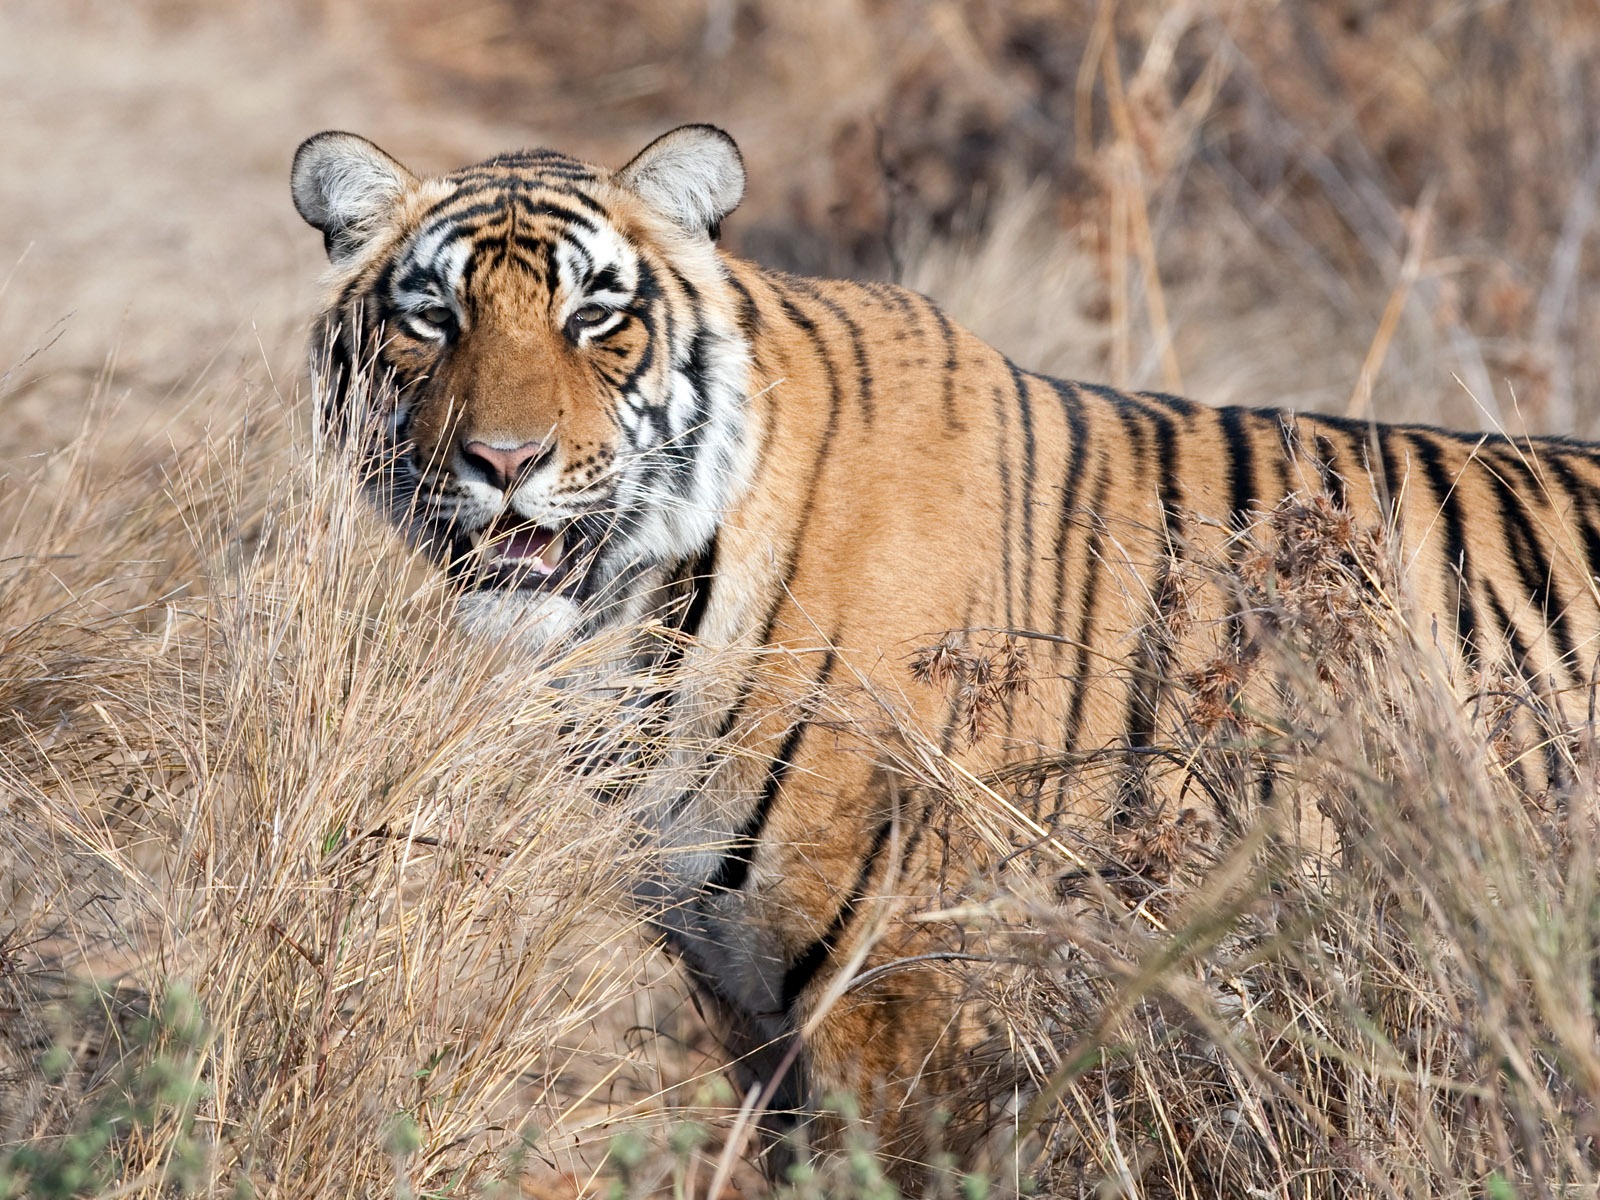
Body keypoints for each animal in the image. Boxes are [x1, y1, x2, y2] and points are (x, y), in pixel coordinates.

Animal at [291, 124, 1600, 1184]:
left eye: (595, 319)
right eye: (431, 318)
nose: (503, 461)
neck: (643, 633)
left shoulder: (904, 989)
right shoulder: (744, 1005)